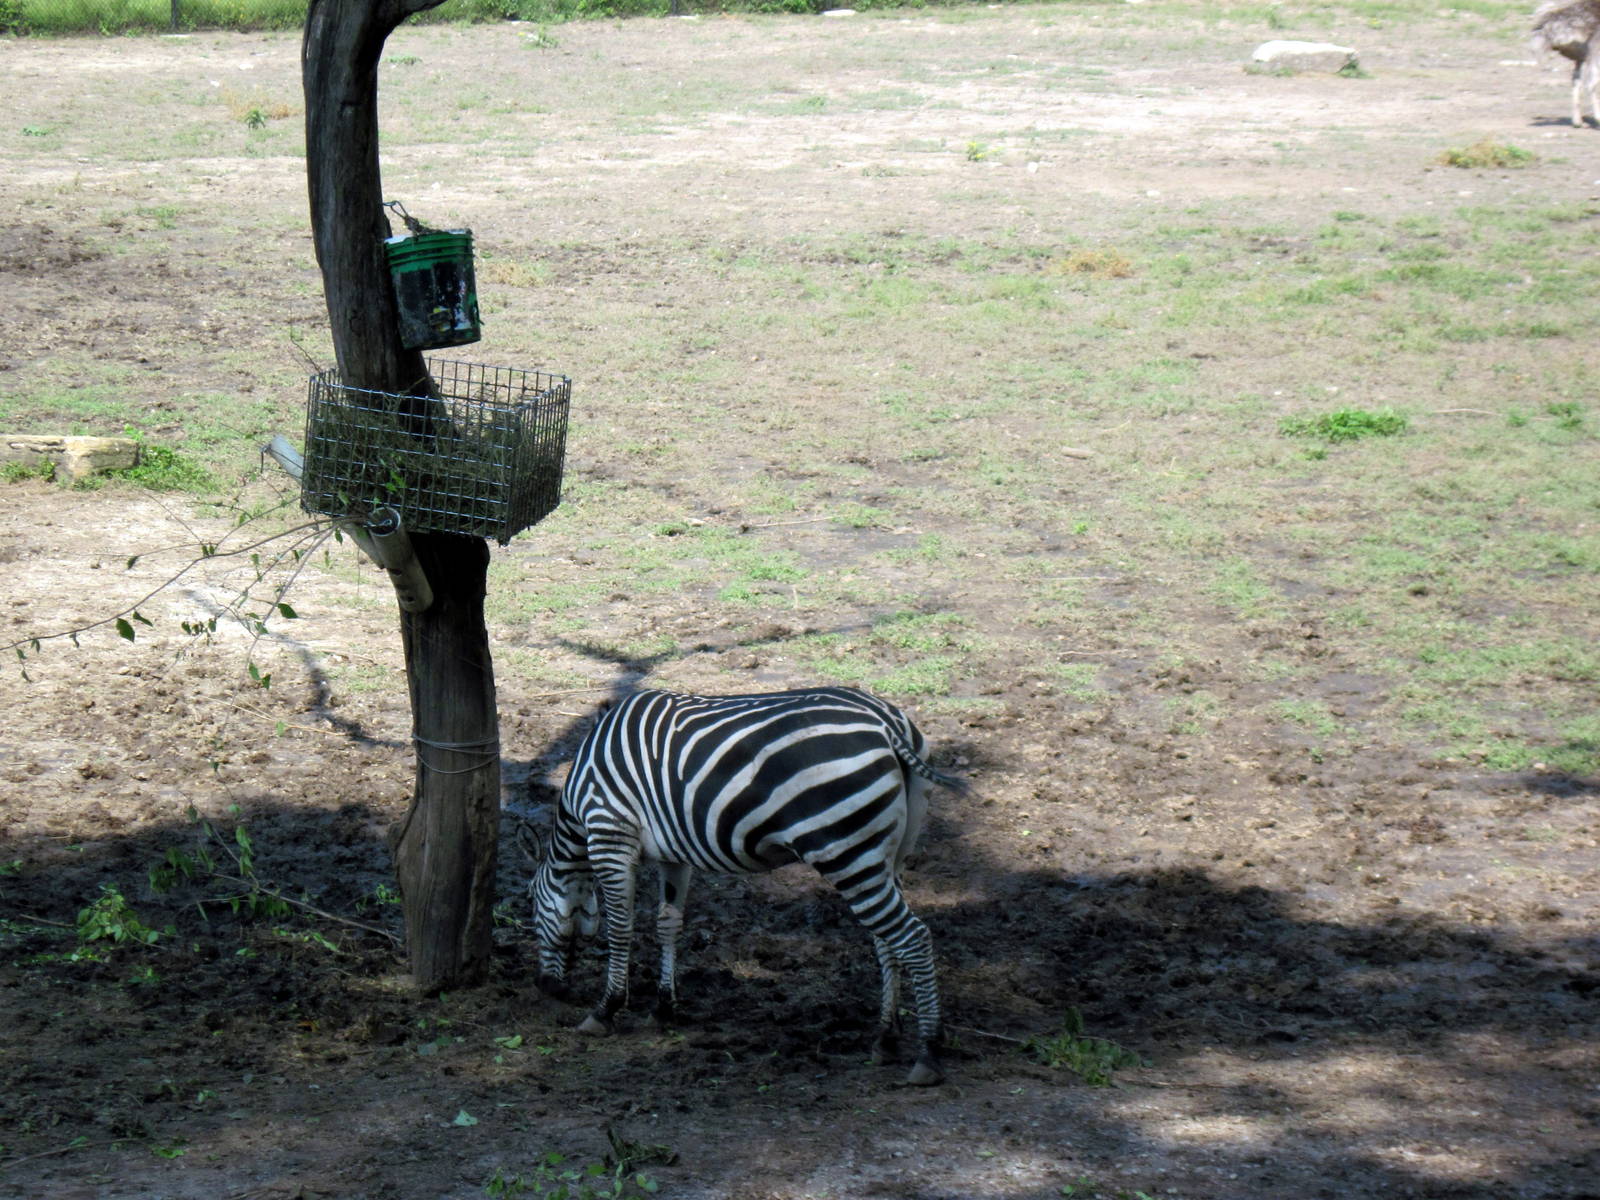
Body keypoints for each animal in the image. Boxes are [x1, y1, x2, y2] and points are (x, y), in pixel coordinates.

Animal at [527, 685, 966, 1086]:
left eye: (532, 910)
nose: (547, 988)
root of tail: (887, 722)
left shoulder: (610, 833)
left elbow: (620, 927)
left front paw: (606, 1009)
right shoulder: (674, 853)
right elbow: (668, 924)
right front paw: (664, 1006)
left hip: (844, 848)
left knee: (912, 937)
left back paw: (927, 1053)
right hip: (890, 853)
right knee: (886, 938)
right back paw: (886, 1038)